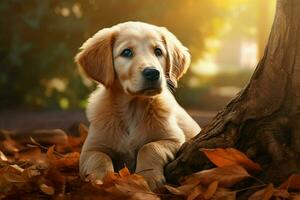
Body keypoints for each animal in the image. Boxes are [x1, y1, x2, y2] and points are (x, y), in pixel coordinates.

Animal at [75, 21, 202, 189]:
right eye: (127, 52)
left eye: (158, 51)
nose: (153, 73)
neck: (133, 108)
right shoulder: (90, 149)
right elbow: (99, 158)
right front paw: (101, 180)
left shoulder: (175, 140)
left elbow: (149, 147)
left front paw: (148, 177)